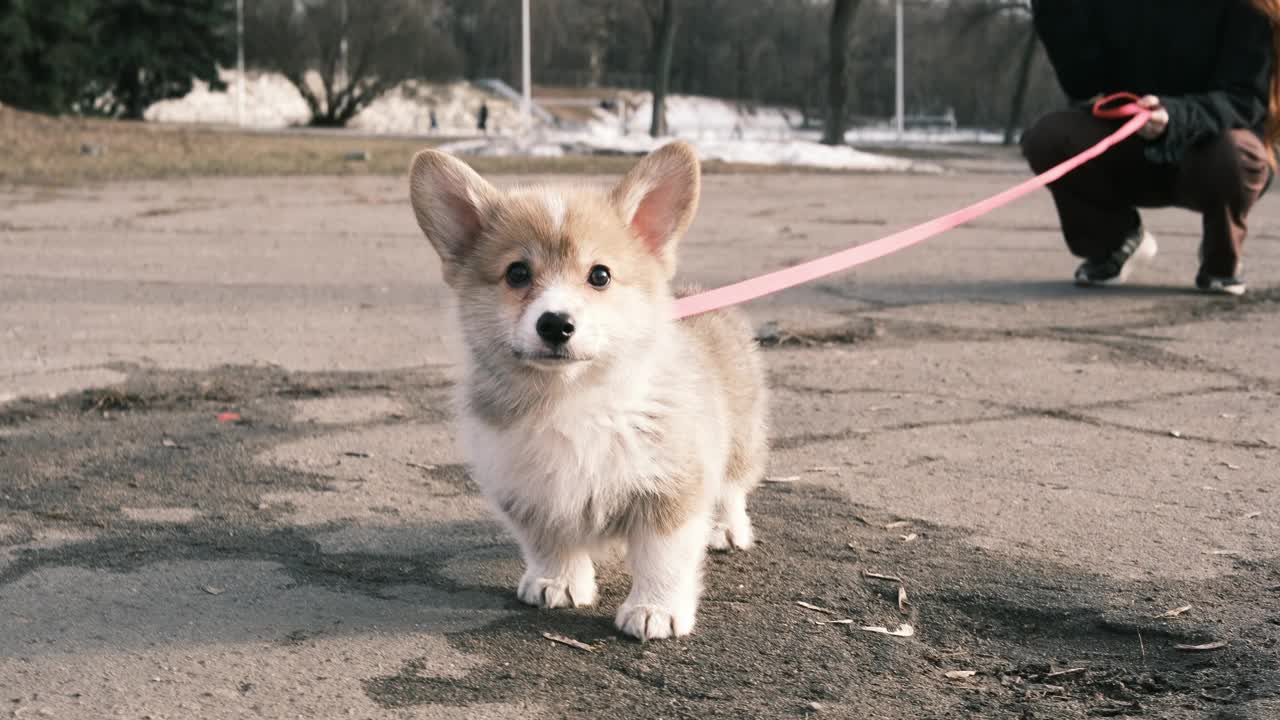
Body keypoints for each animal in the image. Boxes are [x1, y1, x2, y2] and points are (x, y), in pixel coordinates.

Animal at [414, 142, 762, 635]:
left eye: (600, 275)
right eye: (517, 273)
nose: (556, 324)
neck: (571, 397)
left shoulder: (672, 485)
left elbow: (663, 558)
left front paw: (655, 610)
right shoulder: (530, 489)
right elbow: (549, 542)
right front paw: (555, 583)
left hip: (741, 437)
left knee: (732, 488)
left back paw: (726, 530)